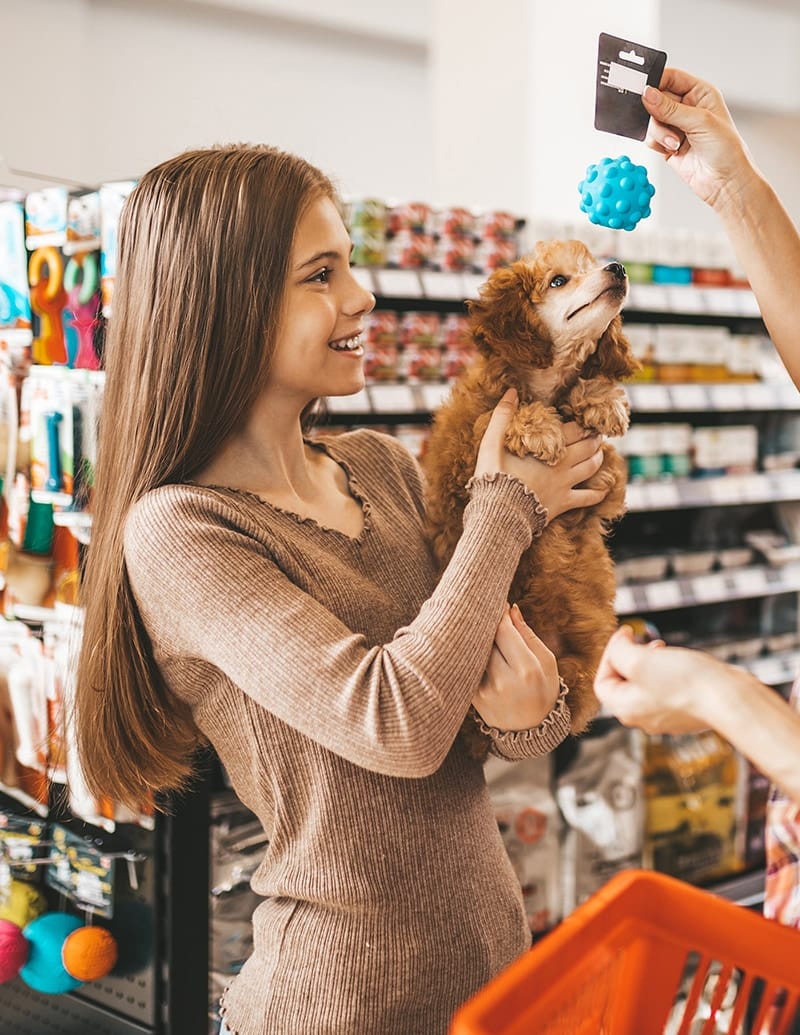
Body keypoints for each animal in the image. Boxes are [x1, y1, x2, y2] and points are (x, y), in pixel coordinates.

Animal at [424, 238, 637, 753]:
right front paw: (535, 426)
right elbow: (492, 421)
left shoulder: (606, 486)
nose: (618, 268)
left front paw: (600, 399)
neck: (546, 385)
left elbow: (607, 456)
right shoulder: (465, 455)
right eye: (558, 280)